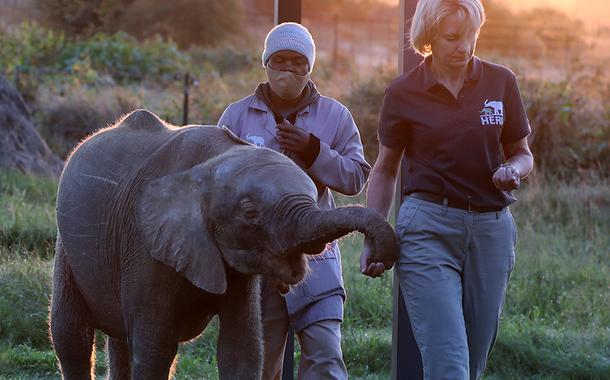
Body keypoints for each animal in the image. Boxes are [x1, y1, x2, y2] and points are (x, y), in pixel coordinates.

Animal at [50, 108, 396, 378]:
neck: (210, 164)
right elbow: (154, 348)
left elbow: (241, 347)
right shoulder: (145, 241)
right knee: (71, 336)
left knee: (119, 338)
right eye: (250, 213)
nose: (376, 261)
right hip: (67, 247)